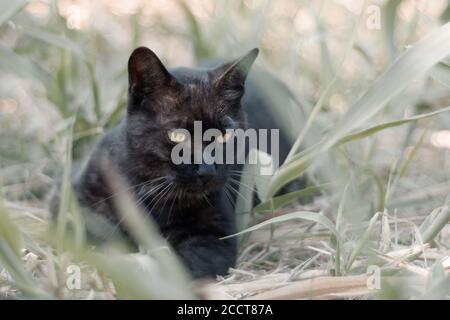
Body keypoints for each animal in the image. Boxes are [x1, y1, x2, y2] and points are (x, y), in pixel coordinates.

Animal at [59, 46, 292, 278]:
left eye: (224, 136)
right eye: (178, 136)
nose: (206, 169)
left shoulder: (213, 239)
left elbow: (174, 267)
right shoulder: (75, 202)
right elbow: (98, 237)